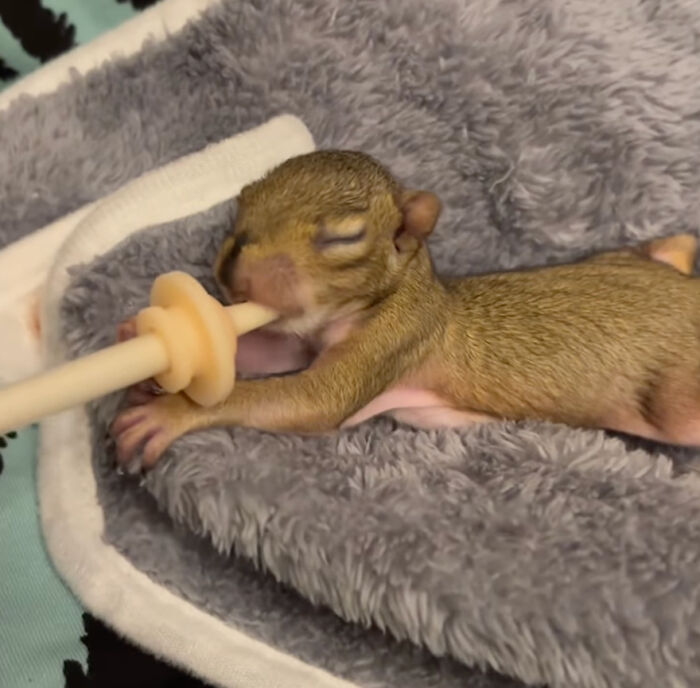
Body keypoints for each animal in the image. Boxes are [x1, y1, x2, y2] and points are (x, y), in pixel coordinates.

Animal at [110, 147, 700, 464]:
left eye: (344, 237)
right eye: (242, 201)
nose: (232, 272)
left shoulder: (395, 339)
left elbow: (309, 400)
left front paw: (172, 412)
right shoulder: (303, 338)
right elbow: (262, 353)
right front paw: (141, 343)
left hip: (680, 401)